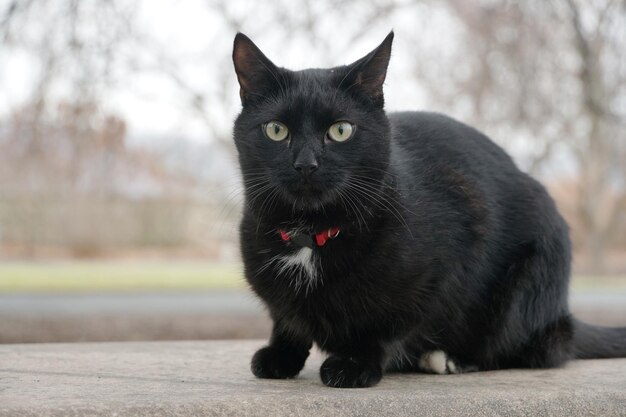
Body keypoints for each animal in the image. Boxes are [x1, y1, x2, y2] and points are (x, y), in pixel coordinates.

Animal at [229, 31, 624, 386]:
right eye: (276, 130)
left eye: (341, 130)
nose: (306, 164)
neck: (310, 236)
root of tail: (562, 314)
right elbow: (286, 318)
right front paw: (281, 355)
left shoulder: (443, 266)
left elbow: (386, 321)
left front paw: (356, 363)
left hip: (528, 284)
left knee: (527, 347)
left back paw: (448, 359)